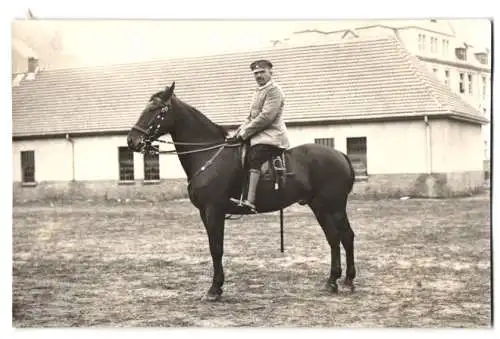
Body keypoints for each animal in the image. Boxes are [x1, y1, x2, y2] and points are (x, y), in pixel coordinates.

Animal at [127, 82, 358, 302]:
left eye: (156, 109)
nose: (132, 141)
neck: (209, 154)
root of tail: (340, 154)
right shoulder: (204, 213)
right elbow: (214, 246)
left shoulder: (213, 210)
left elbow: (216, 248)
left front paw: (214, 289)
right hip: (320, 207)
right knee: (333, 237)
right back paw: (333, 281)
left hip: (334, 207)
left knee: (346, 236)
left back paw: (348, 281)